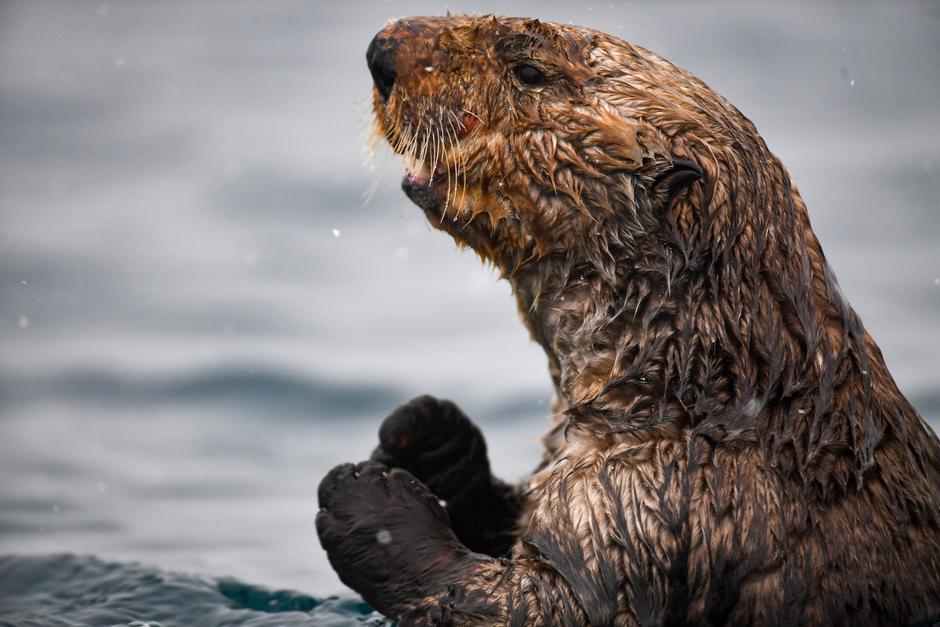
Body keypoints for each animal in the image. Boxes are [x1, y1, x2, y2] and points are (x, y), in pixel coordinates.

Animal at [316, 15, 940, 627]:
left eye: (529, 72)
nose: (383, 50)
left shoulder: (647, 504)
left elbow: (538, 608)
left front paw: (368, 500)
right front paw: (430, 434)